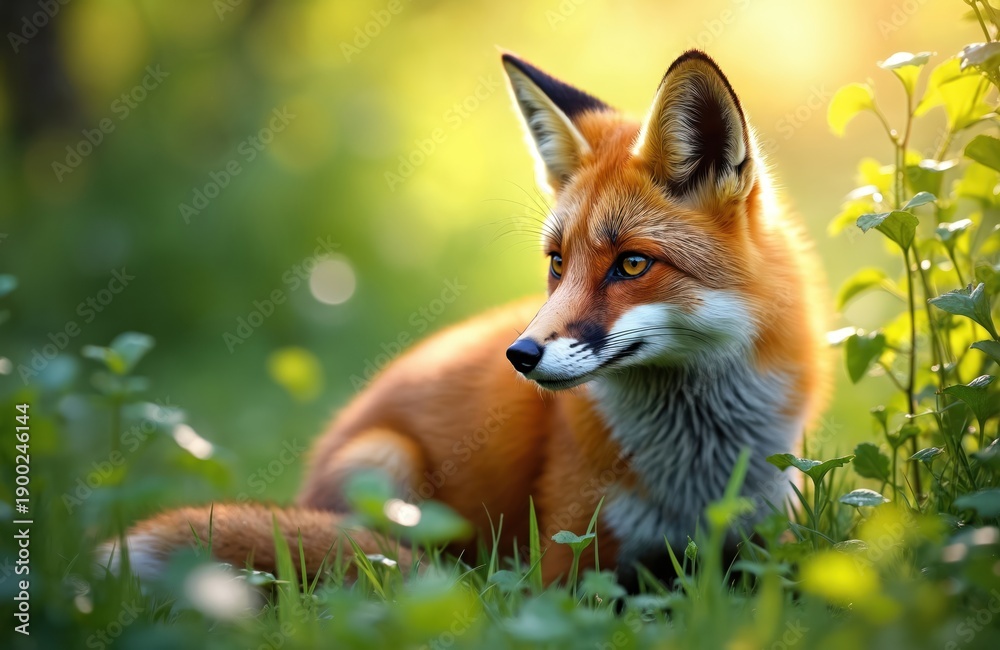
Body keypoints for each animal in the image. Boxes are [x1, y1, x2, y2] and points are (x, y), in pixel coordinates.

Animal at [101, 49, 828, 590]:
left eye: (631, 264)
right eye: (557, 262)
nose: (521, 355)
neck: (697, 466)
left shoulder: (767, 540)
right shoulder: (566, 561)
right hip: (383, 460)